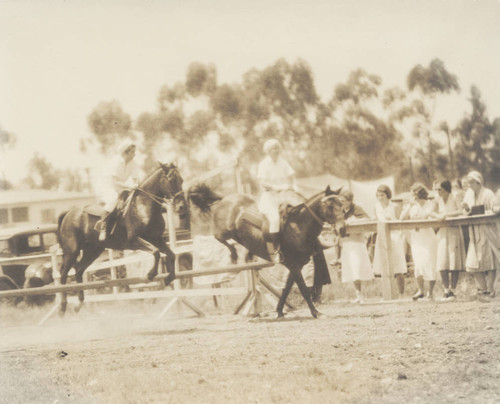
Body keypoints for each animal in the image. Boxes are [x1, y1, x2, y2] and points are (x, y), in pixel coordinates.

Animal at [57, 163, 184, 314]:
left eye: (181, 180)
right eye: (171, 179)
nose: (181, 206)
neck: (143, 205)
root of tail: (69, 213)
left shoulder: (156, 238)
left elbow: (171, 254)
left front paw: (169, 278)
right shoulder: (133, 240)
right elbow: (156, 252)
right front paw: (150, 274)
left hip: (92, 251)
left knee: (78, 270)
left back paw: (78, 303)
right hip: (72, 250)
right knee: (63, 274)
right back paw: (63, 306)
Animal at [188, 184, 344, 318]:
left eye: (341, 205)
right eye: (330, 206)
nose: (341, 228)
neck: (299, 227)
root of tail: (224, 198)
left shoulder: (296, 265)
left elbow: (287, 289)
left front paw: (279, 311)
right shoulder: (293, 265)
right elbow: (304, 290)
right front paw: (316, 312)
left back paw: (248, 254)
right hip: (225, 231)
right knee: (218, 237)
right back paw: (234, 255)